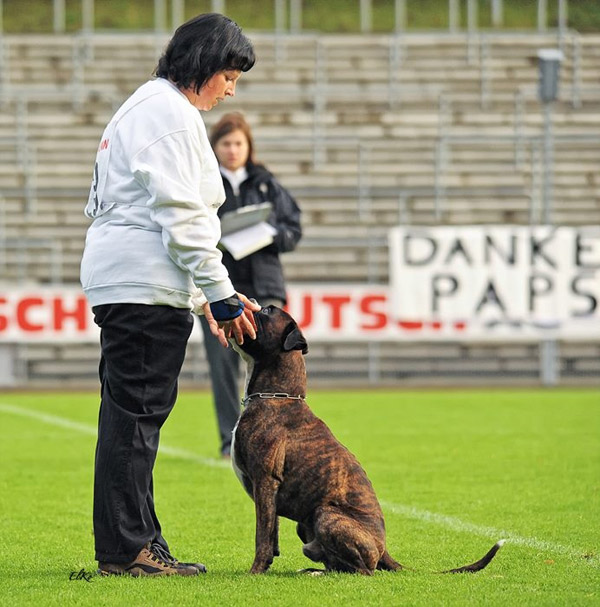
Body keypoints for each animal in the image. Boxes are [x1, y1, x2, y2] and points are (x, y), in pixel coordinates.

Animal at [230, 305, 503, 575]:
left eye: (267, 311)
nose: (247, 302)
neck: (278, 396)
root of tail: (383, 549)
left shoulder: (265, 481)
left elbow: (262, 535)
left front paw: (255, 572)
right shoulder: (269, 490)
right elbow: (271, 532)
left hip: (326, 514)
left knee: (364, 571)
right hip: (307, 524)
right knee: (337, 565)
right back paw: (313, 571)